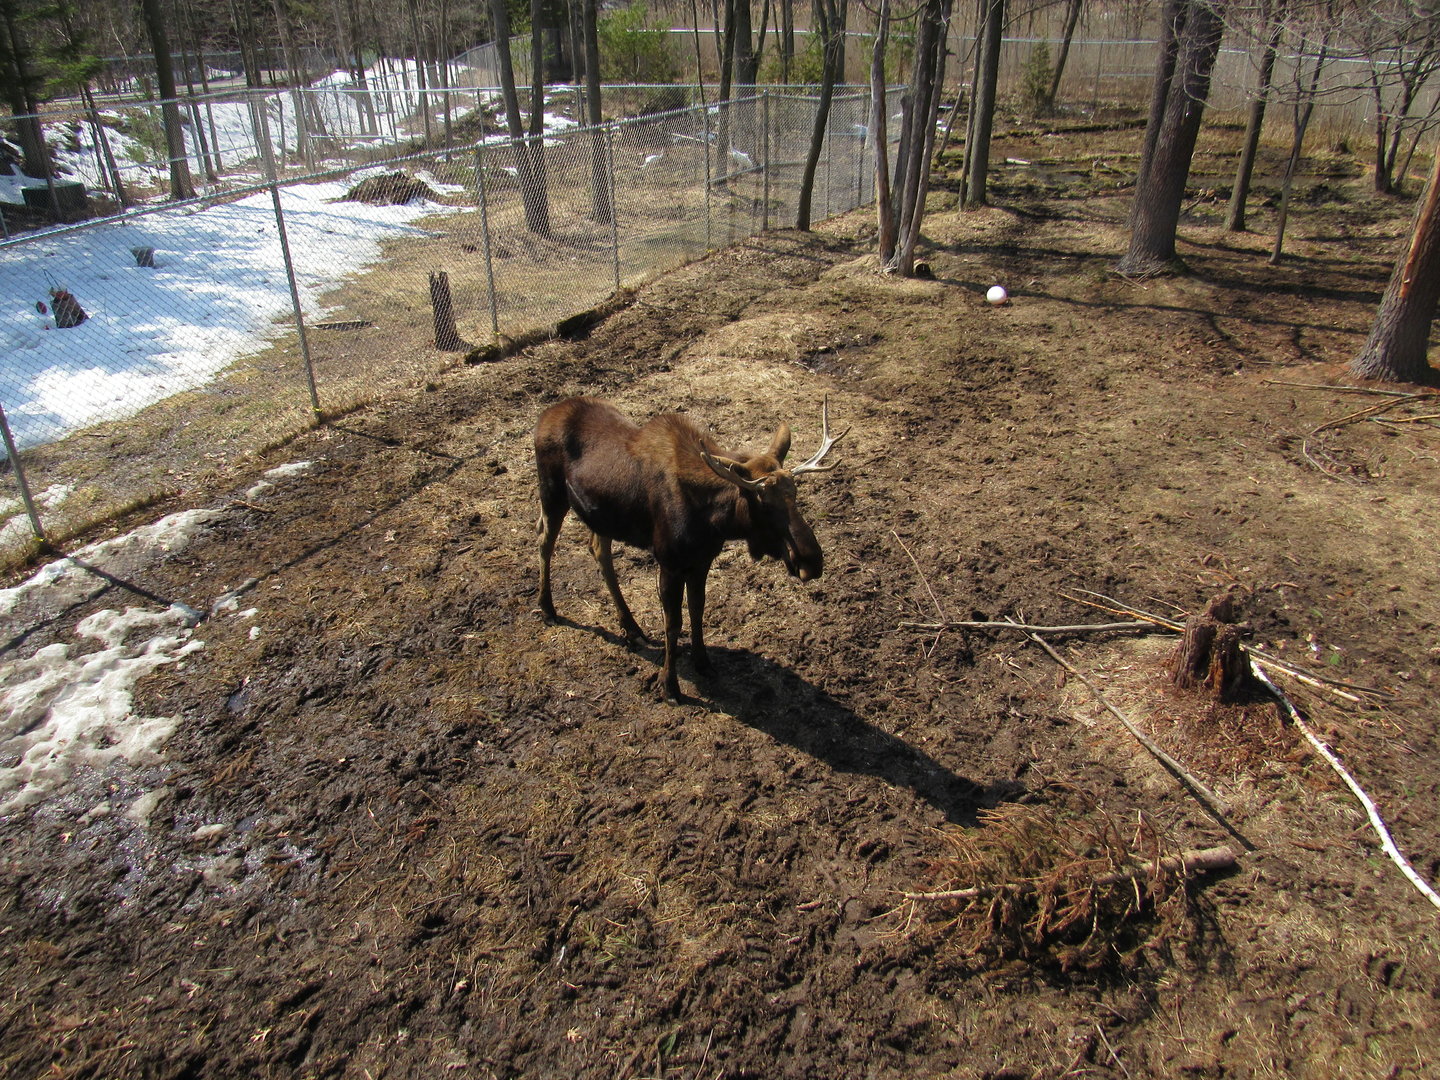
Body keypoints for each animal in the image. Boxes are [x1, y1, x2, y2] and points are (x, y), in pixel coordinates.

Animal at [534, 396, 844, 701]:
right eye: (763, 502)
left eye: (795, 493)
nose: (811, 561)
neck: (715, 521)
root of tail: (544, 415)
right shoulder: (669, 562)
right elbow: (673, 624)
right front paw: (669, 685)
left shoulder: (702, 560)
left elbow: (697, 609)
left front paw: (702, 661)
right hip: (552, 493)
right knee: (544, 540)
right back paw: (547, 608)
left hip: (602, 516)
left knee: (599, 550)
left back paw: (631, 627)